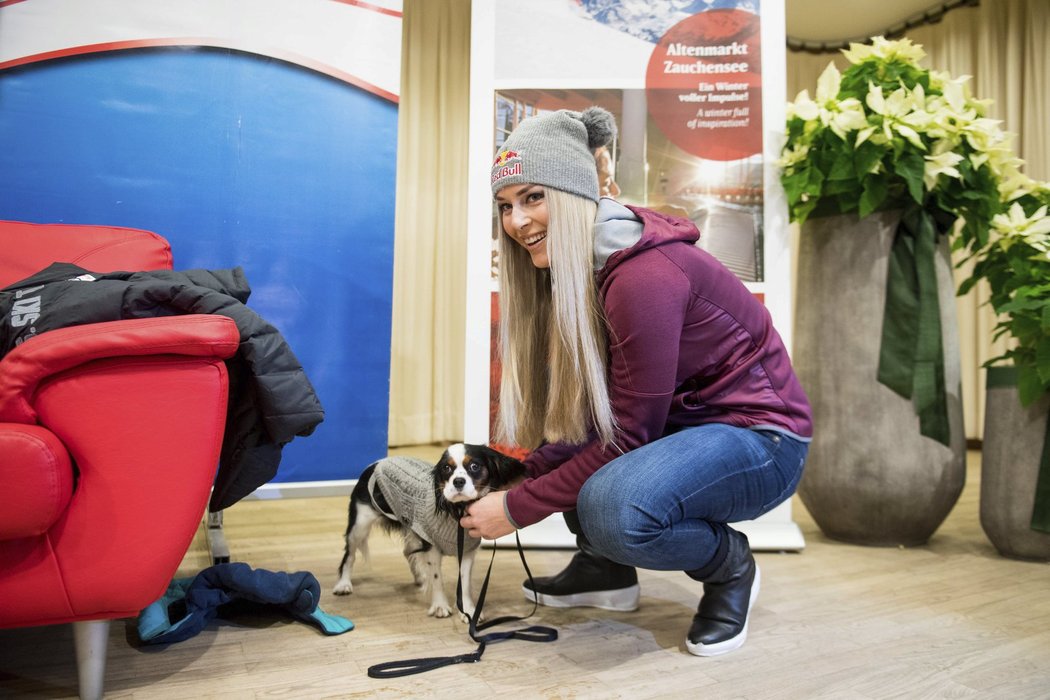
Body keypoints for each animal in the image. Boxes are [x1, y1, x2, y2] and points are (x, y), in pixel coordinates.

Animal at [333, 447, 525, 621]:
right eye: (446, 468)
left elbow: (465, 580)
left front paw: (469, 610)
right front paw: (440, 606)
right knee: (349, 555)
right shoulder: (431, 544)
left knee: (407, 552)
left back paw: (419, 577)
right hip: (359, 525)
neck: (457, 510)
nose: (458, 481)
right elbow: (436, 577)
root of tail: (376, 463)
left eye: (474, 466)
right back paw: (344, 584)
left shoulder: (467, 550)